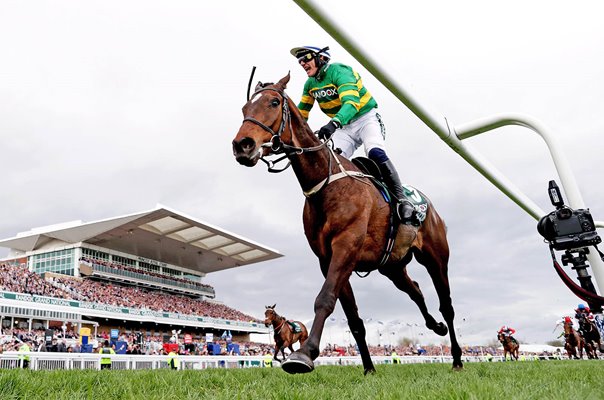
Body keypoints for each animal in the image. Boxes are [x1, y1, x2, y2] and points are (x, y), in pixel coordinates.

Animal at [231, 72, 462, 376]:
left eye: (273, 102)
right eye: (245, 108)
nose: (242, 145)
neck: (326, 184)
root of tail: (430, 207)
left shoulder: (346, 247)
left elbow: (325, 298)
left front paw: (304, 354)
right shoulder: (328, 258)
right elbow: (354, 320)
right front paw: (369, 368)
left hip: (436, 258)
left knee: (446, 304)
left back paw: (457, 358)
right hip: (392, 266)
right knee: (415, 289)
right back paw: (436, 326)